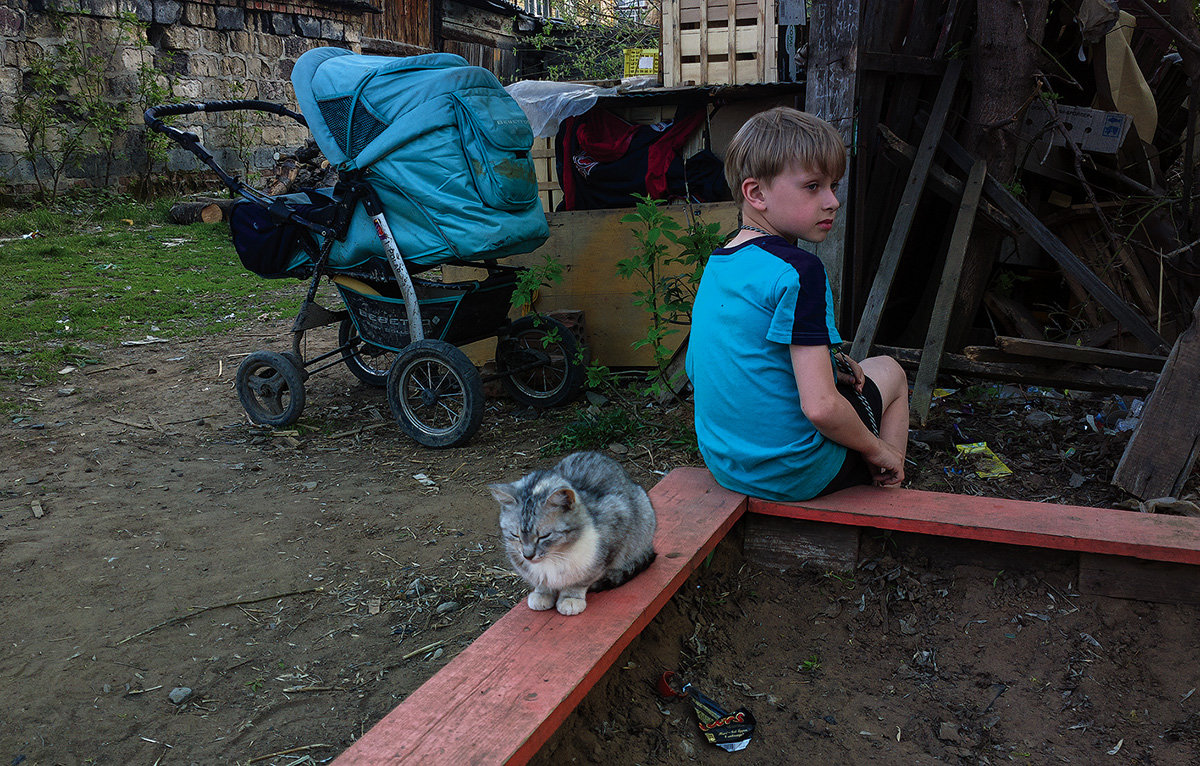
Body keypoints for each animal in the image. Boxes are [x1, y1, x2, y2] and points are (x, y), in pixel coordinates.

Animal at [484, 453, 657, 614]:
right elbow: (541, 581)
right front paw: (542, 593)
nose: (527, 556)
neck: (556, 556)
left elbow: (581, 579)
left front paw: (571, 598)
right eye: (516, 536)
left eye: (544, 536)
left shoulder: (613, 533)